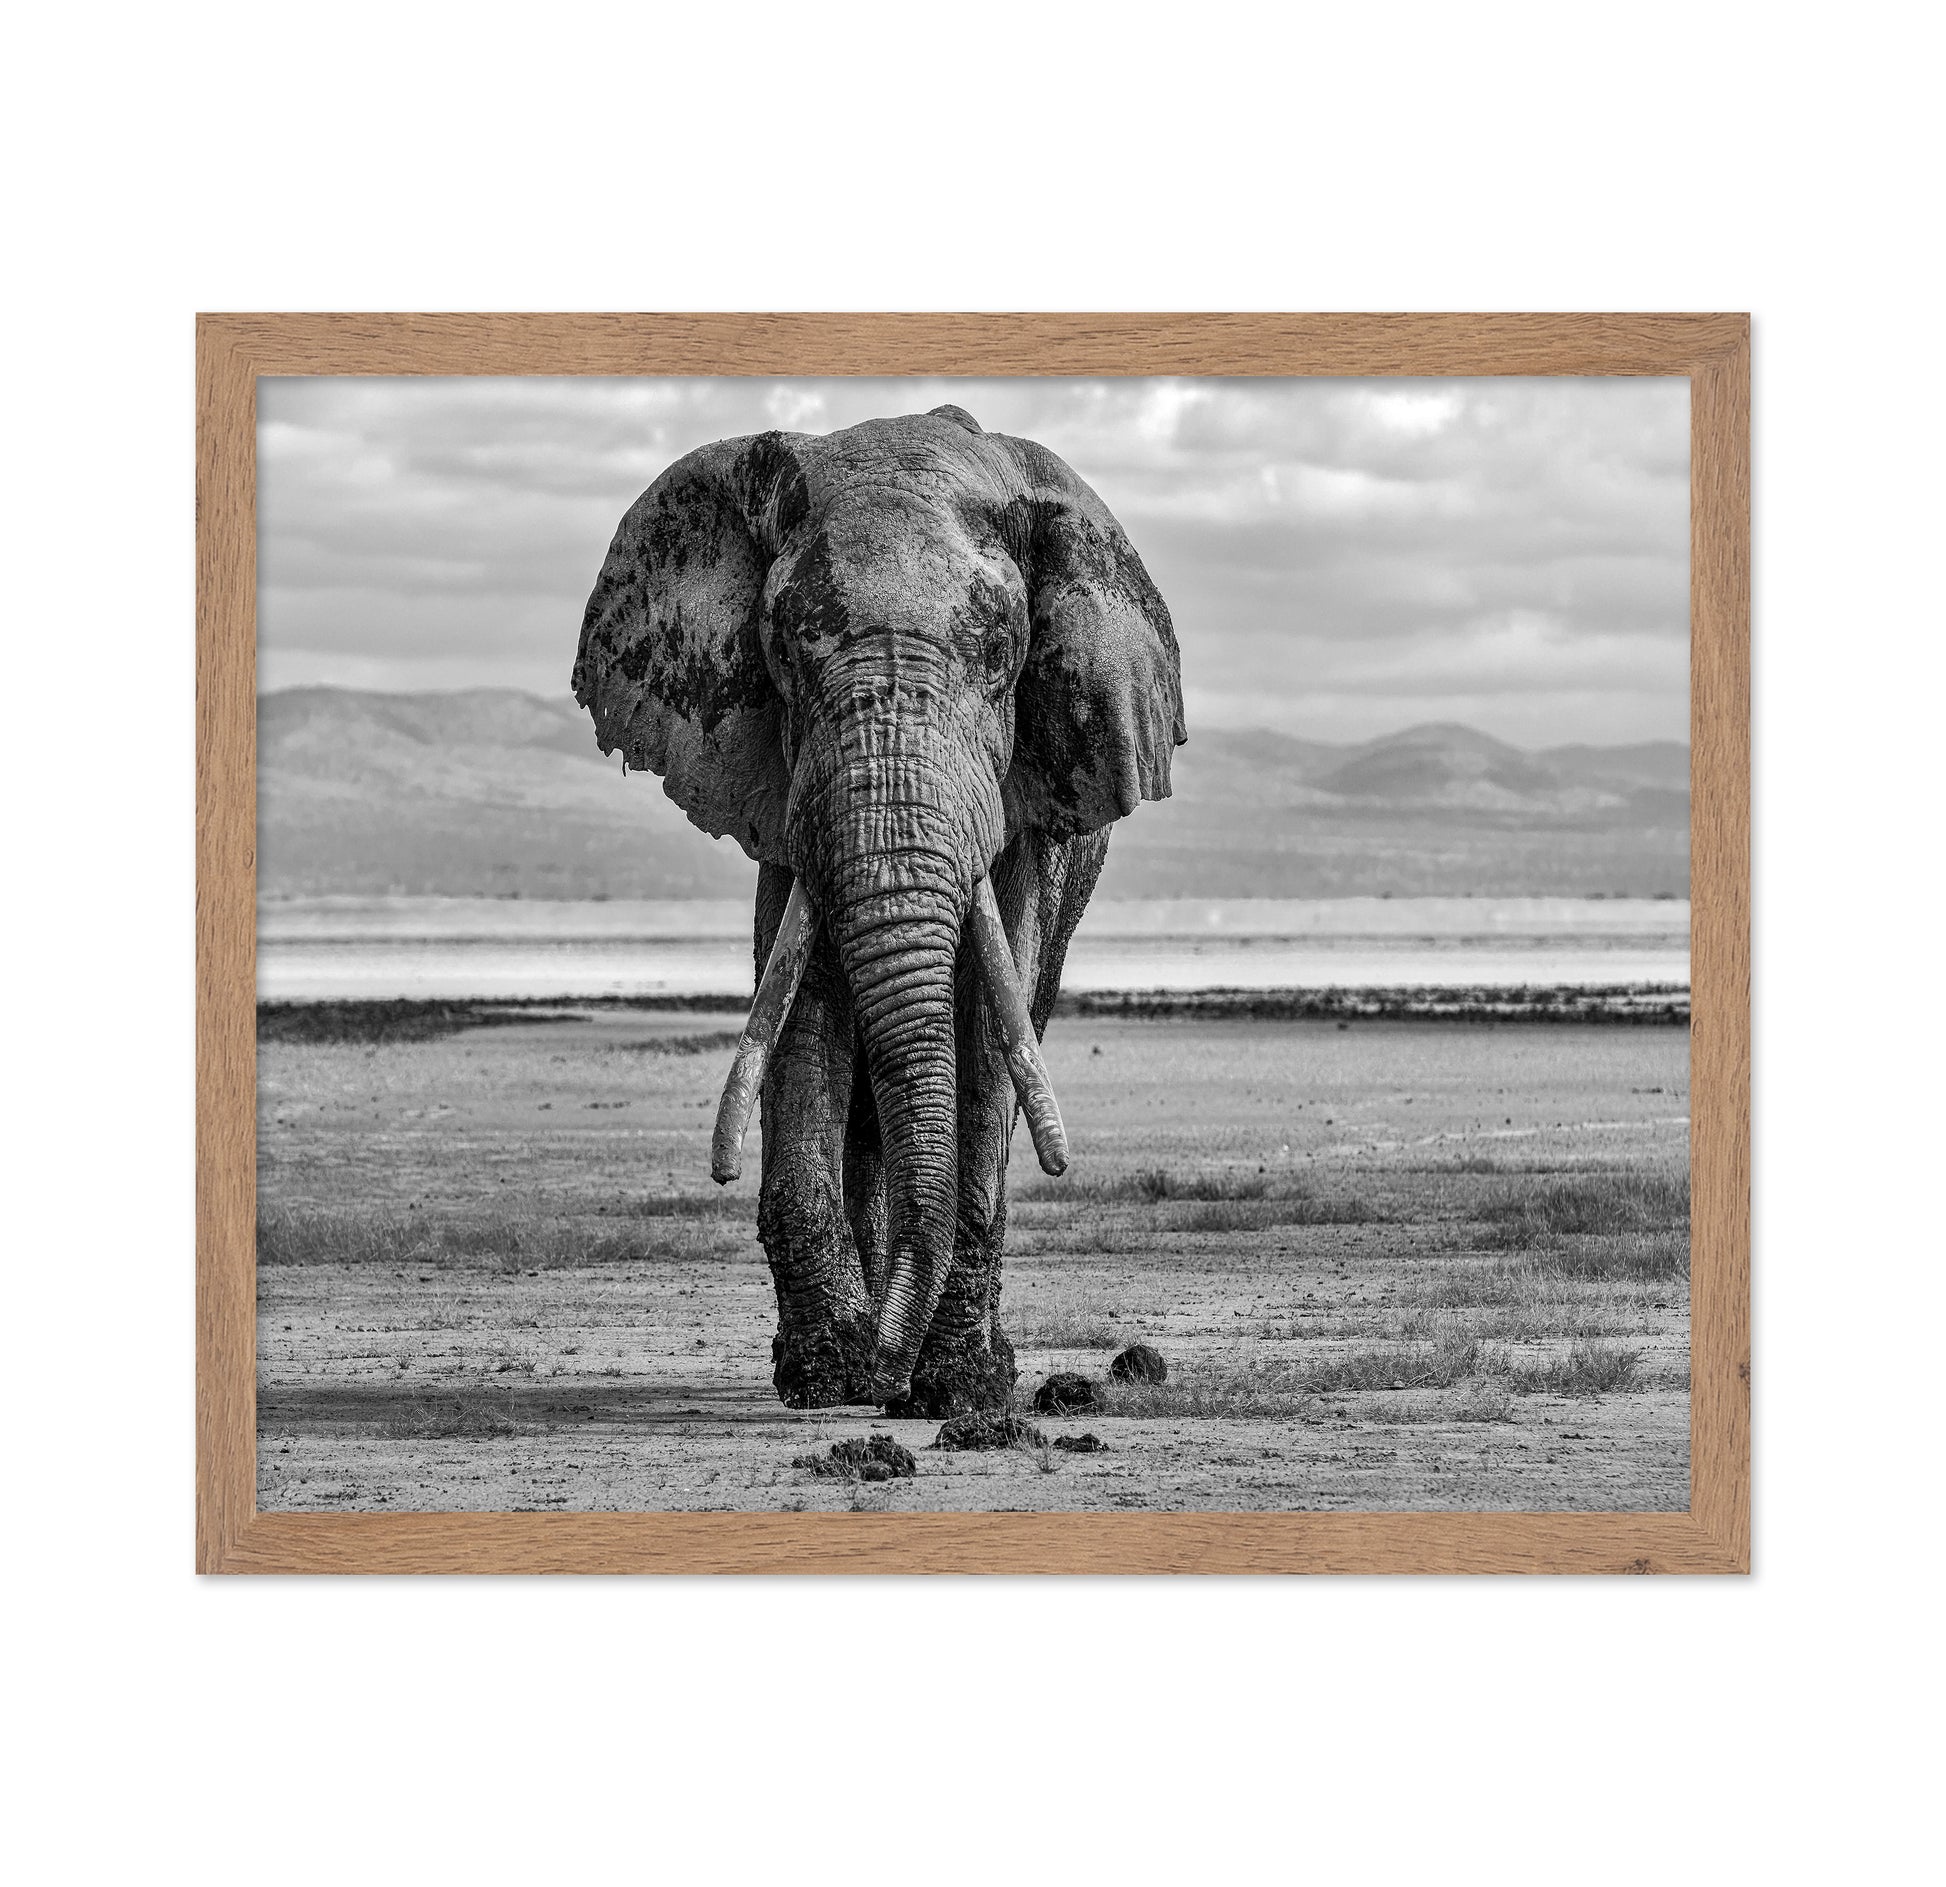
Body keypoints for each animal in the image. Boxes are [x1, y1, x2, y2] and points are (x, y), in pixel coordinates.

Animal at [571, 404, 1184, 1416]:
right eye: (782, 652)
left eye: (1002, 656)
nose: (884, 1378)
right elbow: (802, 1008)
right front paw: (827, 1376)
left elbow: (988, 1020)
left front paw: (958, 1390)